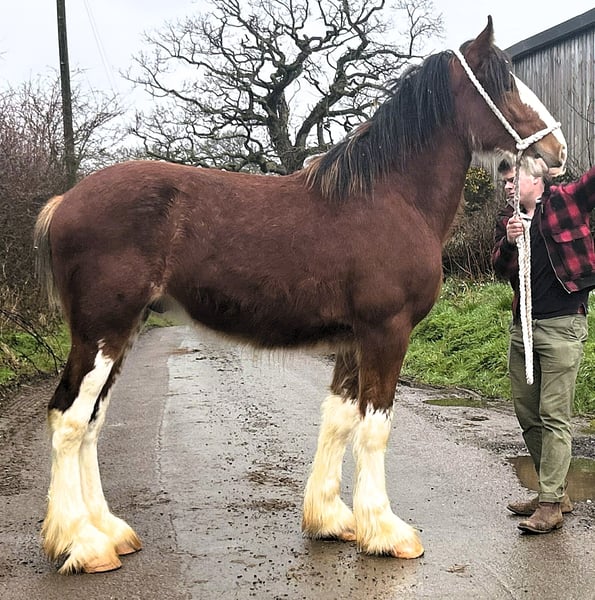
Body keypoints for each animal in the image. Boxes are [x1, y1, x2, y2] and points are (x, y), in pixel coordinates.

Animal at [34, 17, 566, 574]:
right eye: (503, 83)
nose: (558, 153)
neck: (391, 197)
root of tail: (64, 201)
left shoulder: (352, 340)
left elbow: (339, 420)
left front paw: (332, 520)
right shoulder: (386, 332)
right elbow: (375, 427)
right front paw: (387, 532)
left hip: (122, 331)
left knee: (92, 423)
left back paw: (110, 532)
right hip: (102, 332)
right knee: (69, 420)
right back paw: (83, 543)